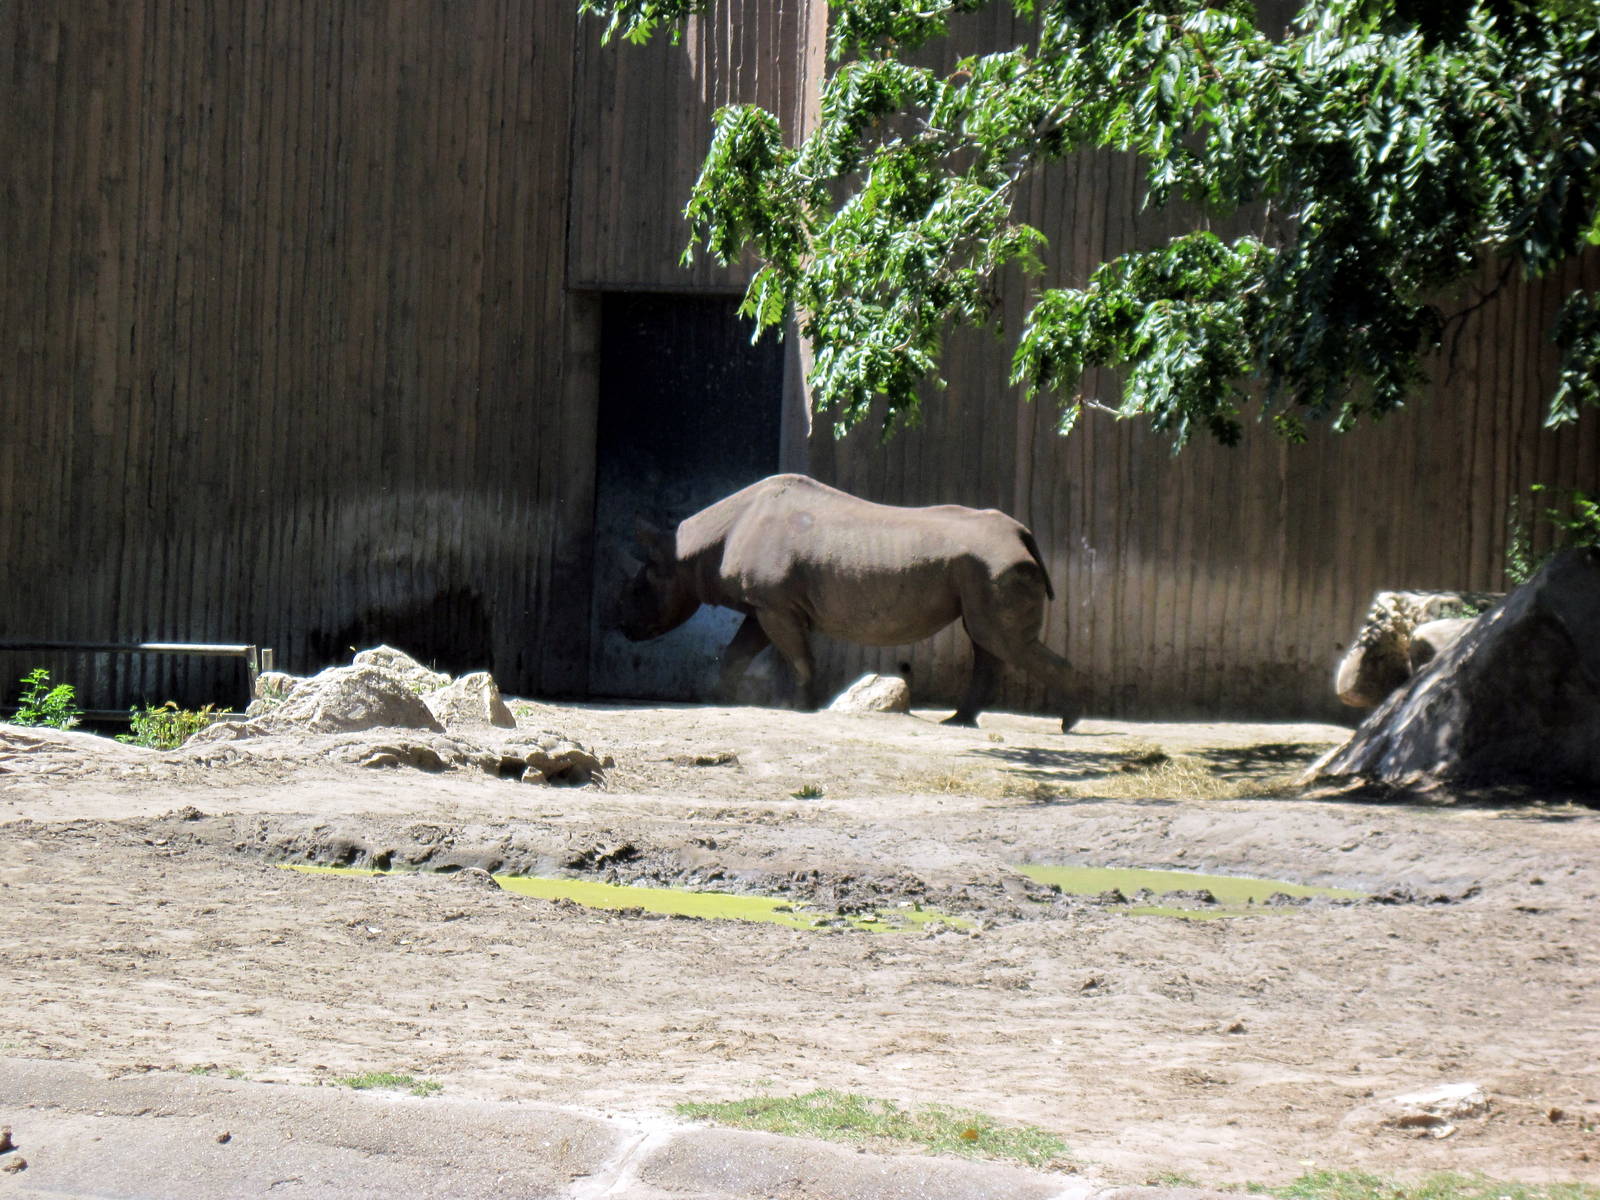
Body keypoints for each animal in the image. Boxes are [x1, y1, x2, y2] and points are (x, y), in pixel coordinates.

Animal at [616, 474, 1083, 731]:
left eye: (638, 591)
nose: (621, 627)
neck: (690, 550)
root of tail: (1022, 532)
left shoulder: (775, 605)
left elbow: (798, 657)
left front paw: (802, 707)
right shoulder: (765, 605)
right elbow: (737, 653)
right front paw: (722, 699)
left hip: (992, 564)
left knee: (1000, 639)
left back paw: (1067, 722)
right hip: (982, 567)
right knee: (986, 639)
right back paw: (959, 722)